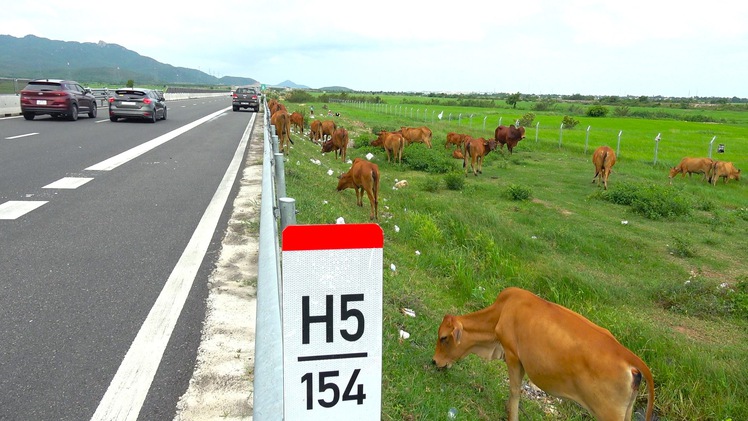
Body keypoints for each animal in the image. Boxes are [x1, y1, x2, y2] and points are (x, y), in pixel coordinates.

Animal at [432, 288, 656, 420]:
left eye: (443, 338)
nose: (434, 362)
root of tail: (629, 357)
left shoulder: (513, 356)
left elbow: (515, 392)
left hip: (609, 414)